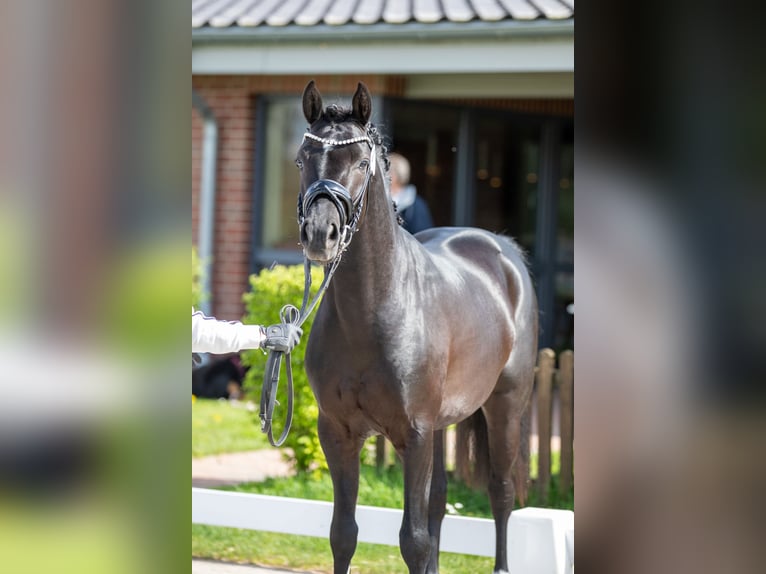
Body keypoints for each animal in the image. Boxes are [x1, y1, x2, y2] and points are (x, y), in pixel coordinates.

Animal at [296, 81, 536, 574]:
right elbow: (343, 534)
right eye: (302, 158)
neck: (371, 311)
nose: (320, 234)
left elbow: (414, 540)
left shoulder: (415, 434)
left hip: (505, 407)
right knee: (440, 501)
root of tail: (502, 248)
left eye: (361, 162)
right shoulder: (338, 432)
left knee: (501, 493)